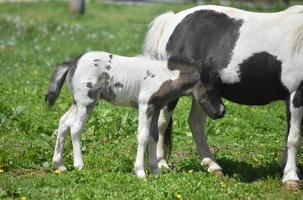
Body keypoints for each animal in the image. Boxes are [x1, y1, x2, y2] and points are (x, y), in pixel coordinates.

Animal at [45, 50, 226, 177]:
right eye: (210, 89)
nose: (221, 111)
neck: (165, 76)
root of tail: (72, 63)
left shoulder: (155, 109)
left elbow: (154, 136)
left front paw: (155, 170)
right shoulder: (145, 106)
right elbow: (143, 136)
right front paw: (140, 172)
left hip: (79, 102)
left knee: (63, 122)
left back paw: (59, 165)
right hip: (85, 102)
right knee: (76, 128)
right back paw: (79, 165)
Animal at [144, 5, 303, 189]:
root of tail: (172, 20)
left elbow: (289, 134)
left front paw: (288, 169)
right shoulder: (295, 94)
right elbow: (294, 138)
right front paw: (291, 178)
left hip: (202, 93)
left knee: (195, 123)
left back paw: (212, 166)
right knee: (163, 122)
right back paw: (162, 163)